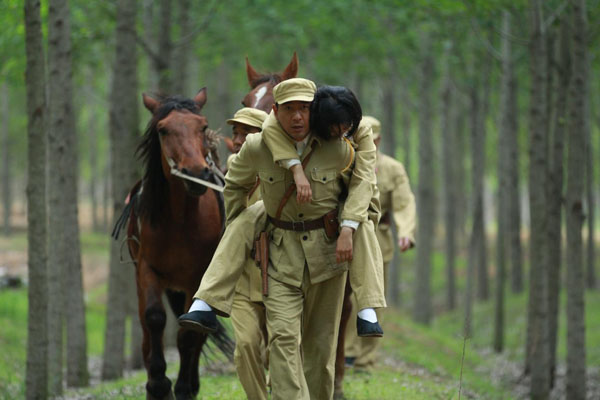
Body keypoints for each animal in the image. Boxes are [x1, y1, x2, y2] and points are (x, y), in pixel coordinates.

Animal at [113, 88, 233, 400]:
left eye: (202, 126)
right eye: (163, 130)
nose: (196, 174)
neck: (180, 221)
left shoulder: (198, 276)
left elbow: (190, 331)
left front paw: (182, 387)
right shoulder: (147, 269)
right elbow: (154, 318)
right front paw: (158, 384)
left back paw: (192, 384)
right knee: (146, 331)